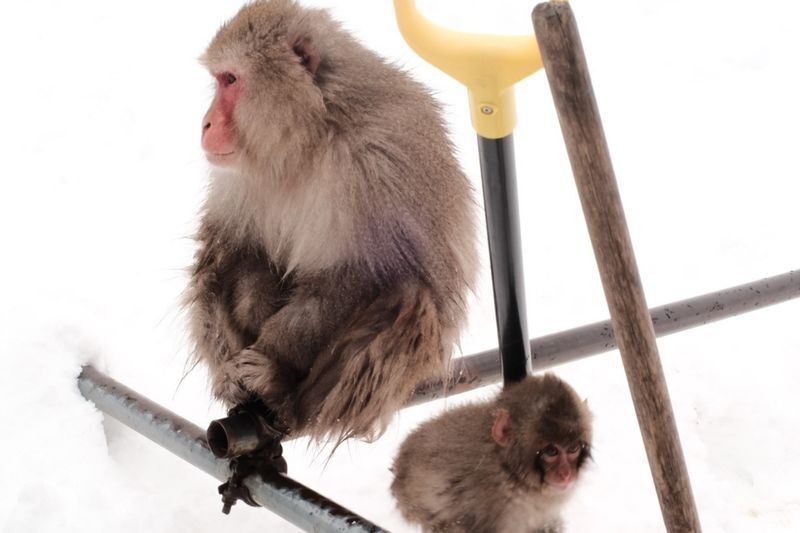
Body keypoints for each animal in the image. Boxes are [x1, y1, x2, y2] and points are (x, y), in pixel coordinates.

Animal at [185, 0, 477, 445]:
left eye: (230, 80)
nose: (206, 122)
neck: (312, 134)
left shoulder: (375, 167)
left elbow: (359, 276)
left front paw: (272, 357)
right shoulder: (239, 178)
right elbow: (229, 247)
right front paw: (231, 372)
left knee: (407, 298)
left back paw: (282, 396)